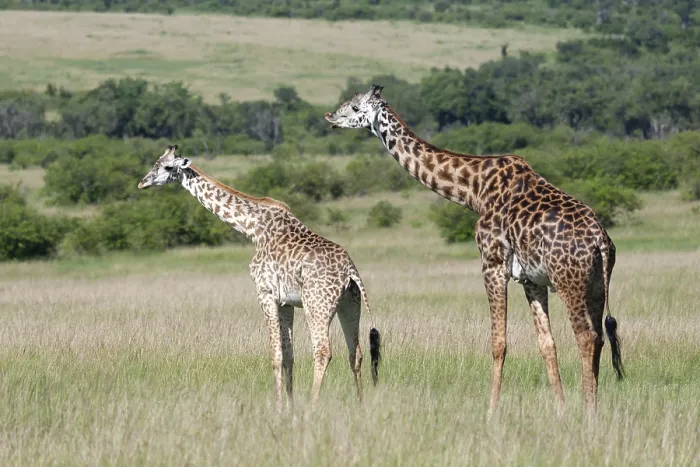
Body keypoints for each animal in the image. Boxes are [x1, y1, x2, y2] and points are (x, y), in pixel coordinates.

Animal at [137, 145, 381, 408]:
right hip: (350, 303)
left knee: (323, 351)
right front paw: (289, 406)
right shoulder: (286, 302)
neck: (252, 228)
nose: (143, 183)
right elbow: (289, 355)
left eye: (166, 167)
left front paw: (278, 406)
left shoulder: (265, 293)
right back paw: (360, 404)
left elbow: (276, 355)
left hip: (317, 304)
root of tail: (350, 270)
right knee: (355, 352)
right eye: (155, 162)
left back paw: (312, 404)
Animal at [324, 85, 623, 412]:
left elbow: (498, 343)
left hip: (570, 281)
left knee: (586, 336)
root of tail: (600, 241)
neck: (474, 190)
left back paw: (590, 410)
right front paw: (560, 407)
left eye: (355, 107)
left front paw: (491, 410)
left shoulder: (491, 264)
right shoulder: (531, 279)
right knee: (599, 338)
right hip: (596, 285)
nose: (330, 117)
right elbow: (547, 343)